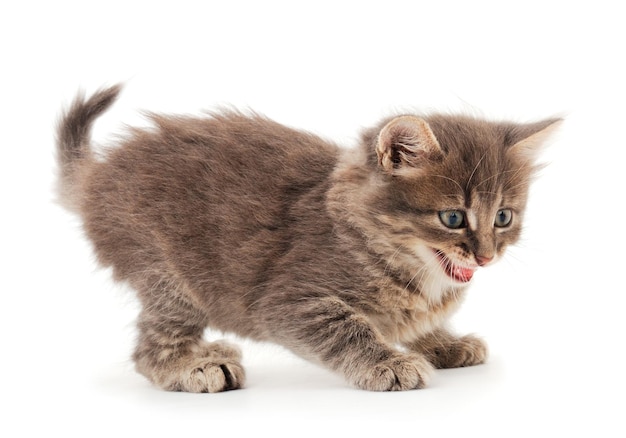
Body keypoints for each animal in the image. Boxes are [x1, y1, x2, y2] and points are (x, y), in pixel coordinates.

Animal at [56, 85, 560, 394]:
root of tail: (98, 174)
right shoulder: (288, 301)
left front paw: (444, 343)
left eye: (503, 217)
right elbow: (348, 327)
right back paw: (192, 365)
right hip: (166, 275)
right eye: (453, 217)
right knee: (149, 347)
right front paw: (389, 363)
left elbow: (413, 323)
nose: (486, 256)